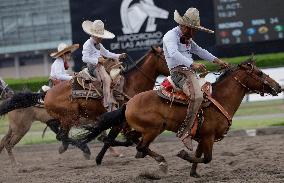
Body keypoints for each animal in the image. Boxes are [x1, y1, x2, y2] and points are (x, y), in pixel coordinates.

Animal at [0, 45, 169, 159]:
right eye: (165, 56)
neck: (130, 84)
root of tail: (46, 93)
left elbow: (122, 138)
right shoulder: (119, 121)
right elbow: (113, 139)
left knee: (5, 142)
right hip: (43, 123)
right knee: (59, 137)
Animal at [87, 58, 282, 177]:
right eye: (259, 73)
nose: (278, 86)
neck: (220, 99)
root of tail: (128, 103)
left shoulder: (203, 137)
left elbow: (199, 154)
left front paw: (193, 173)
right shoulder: (209, 137)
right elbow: (206, 158)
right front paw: (183, 155)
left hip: (143, 129)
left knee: (132, 141)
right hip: (154, 129)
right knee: (140, 146)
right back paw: (161, 162)